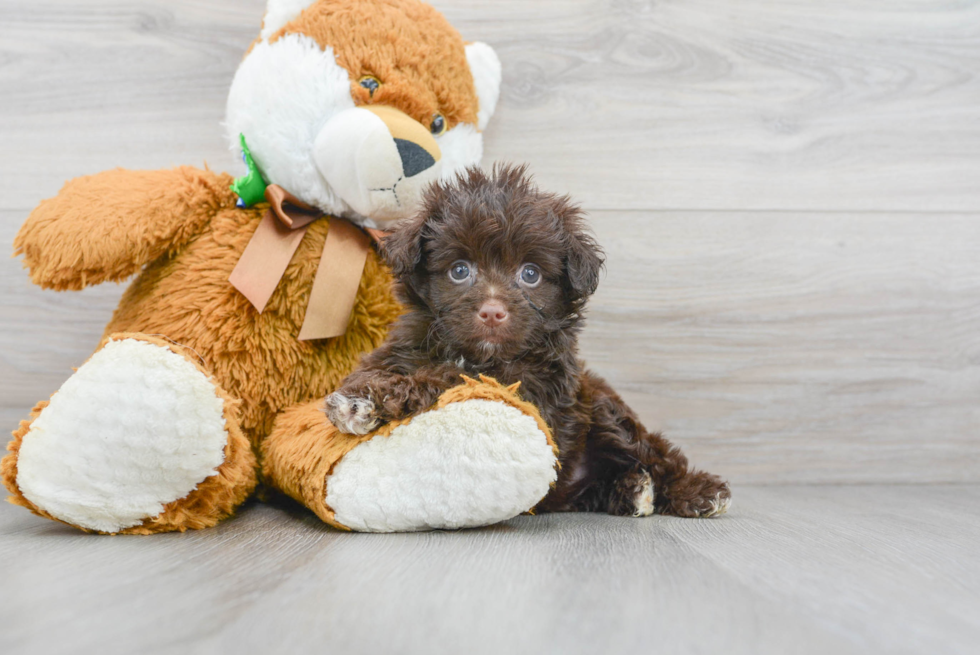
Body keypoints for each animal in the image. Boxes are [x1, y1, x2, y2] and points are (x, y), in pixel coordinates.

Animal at [326, 164, 732, 516]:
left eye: (530, 274)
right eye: (459, 270)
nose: (492, 312)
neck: (480, 354)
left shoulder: (535, 390)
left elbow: (451, 377)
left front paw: (372, 399)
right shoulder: (405, 347)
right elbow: (388, 367)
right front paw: (360, 395)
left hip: (604, 410)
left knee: (657, 455)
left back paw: (695, 491)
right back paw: (632, 490)